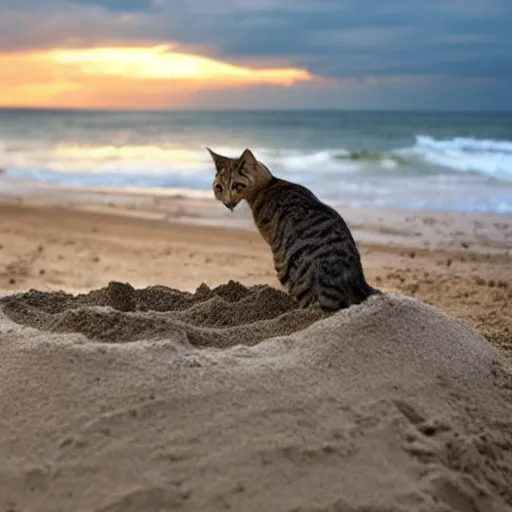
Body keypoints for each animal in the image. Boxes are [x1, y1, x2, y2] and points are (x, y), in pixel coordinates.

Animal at [206, 146, 378, 310]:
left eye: (237, 185)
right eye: (219, 188)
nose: (227, 202)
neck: (269, 184)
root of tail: (355, 278)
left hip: (287, 269)